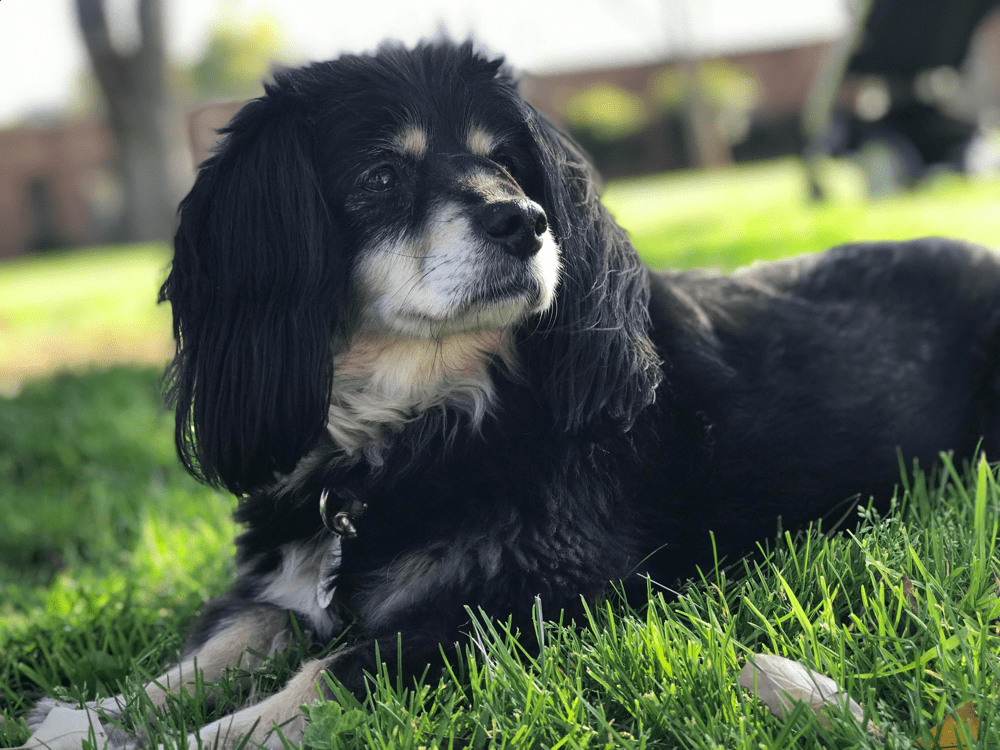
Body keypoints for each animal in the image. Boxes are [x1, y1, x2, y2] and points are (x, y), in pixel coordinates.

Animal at [25, 39, 1000, 750]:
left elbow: (331, 670)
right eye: (380, 177)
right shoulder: (286, 575)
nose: (524, 223)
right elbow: (231, 640)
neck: (415, 427)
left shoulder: (533, 598)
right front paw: (91, 719)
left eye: (512, 169)